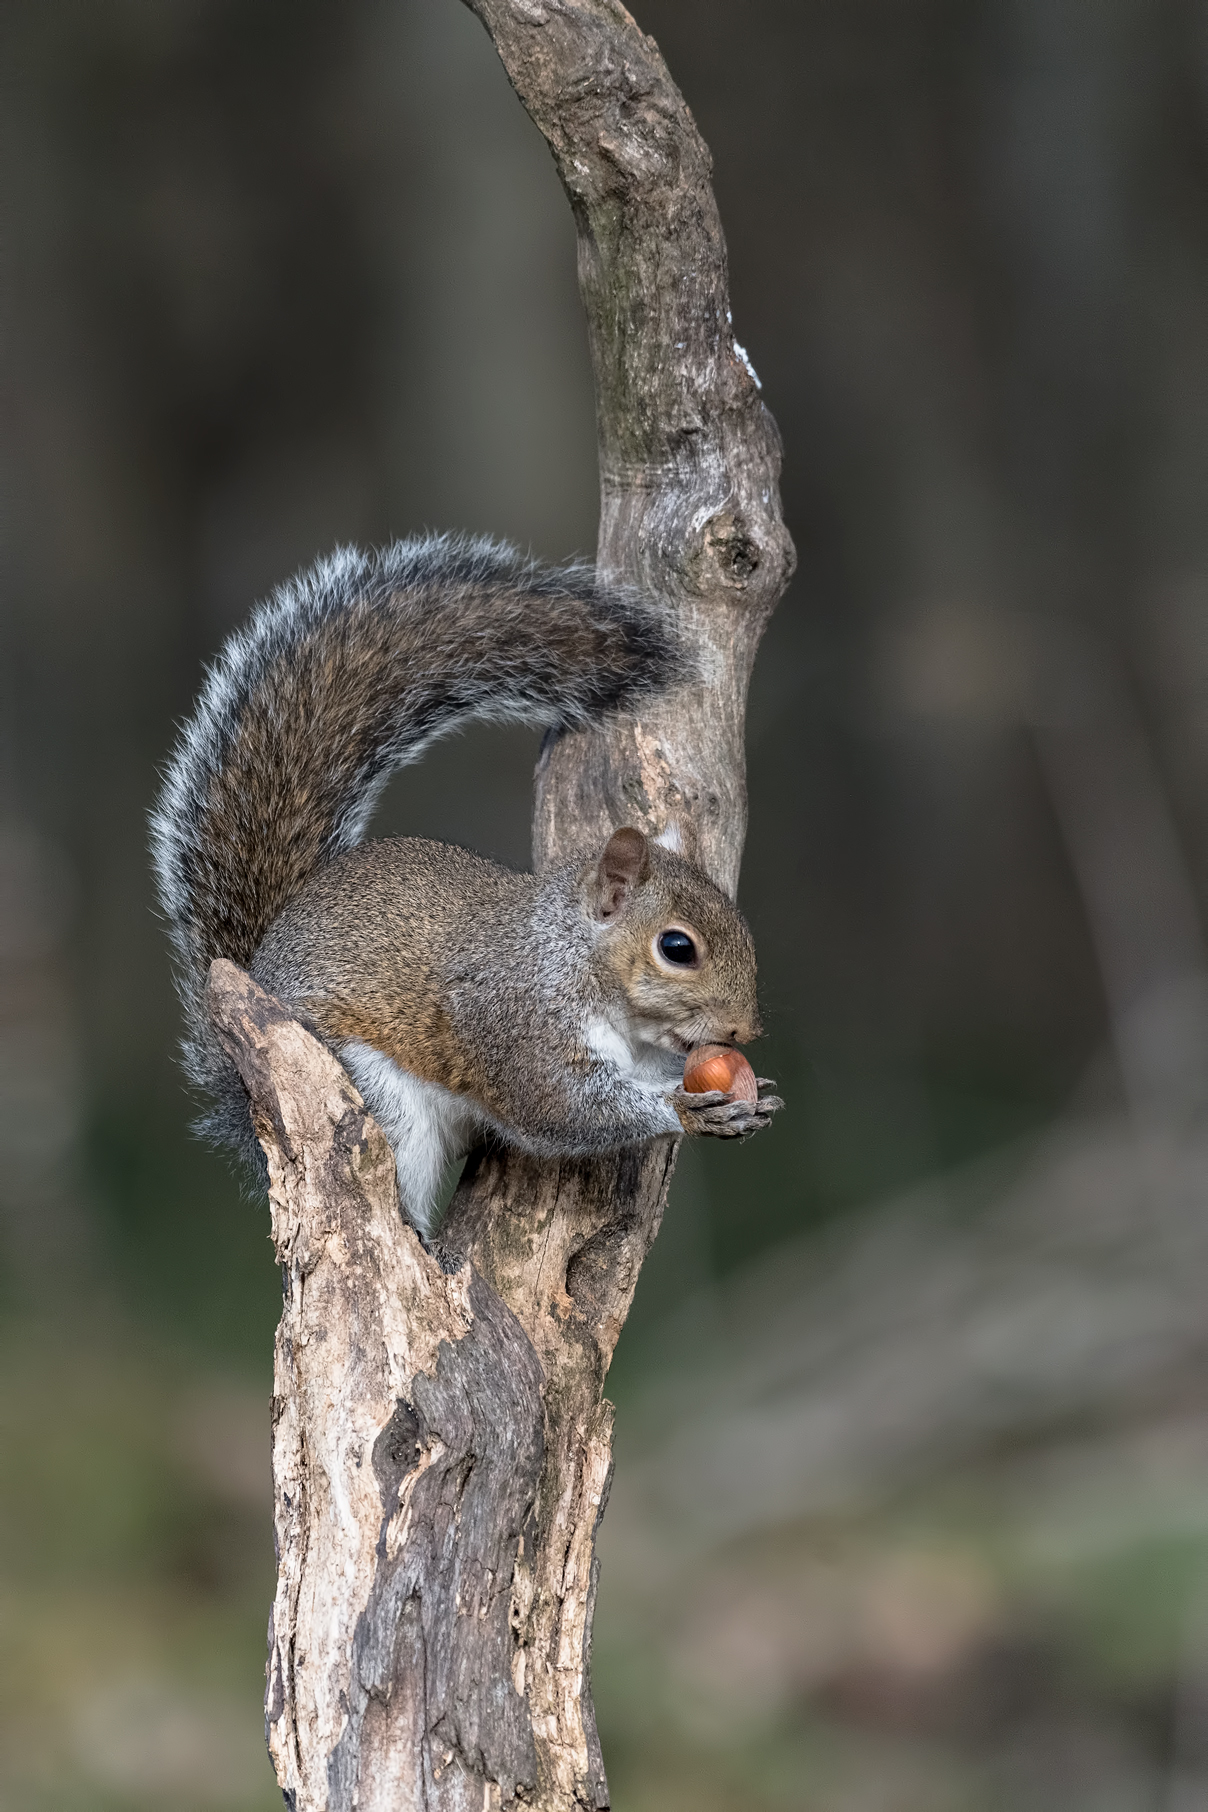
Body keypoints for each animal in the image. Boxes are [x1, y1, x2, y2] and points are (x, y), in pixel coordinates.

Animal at [151, 534, 782, 1233]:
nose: (743, 1032)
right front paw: (681, 1110)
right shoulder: (515, 1022)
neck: (568, 955)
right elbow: (563, 1107)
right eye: (677, 948)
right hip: (373, 1096)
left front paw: (755, 1100)